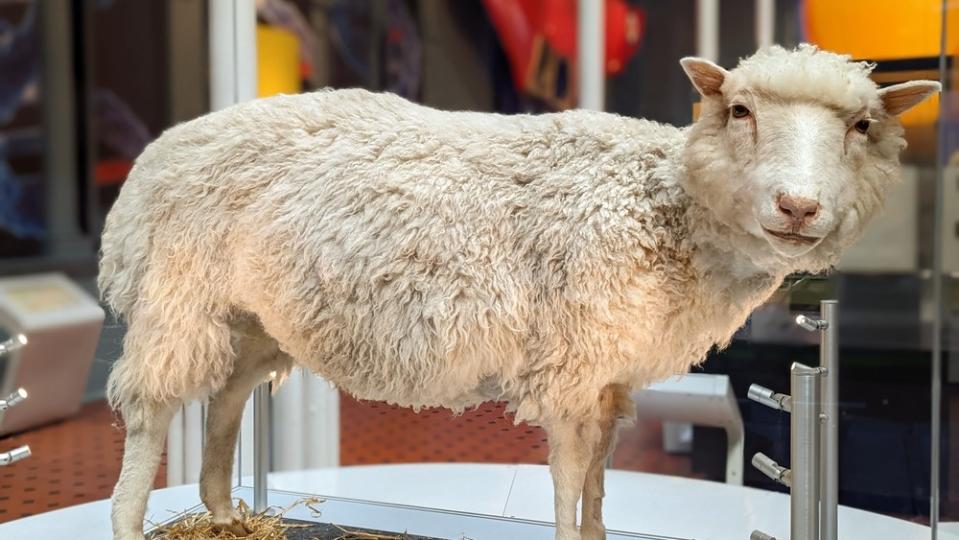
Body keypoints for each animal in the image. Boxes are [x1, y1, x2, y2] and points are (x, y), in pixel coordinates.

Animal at [101, 43, 940, 540]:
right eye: (739, 111)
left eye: (862, 126)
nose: (797, 207)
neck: (661, 206)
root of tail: (160, 150)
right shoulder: (570, 364)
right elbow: (570, 478)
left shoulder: (611, 376)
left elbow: (600, 479)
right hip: (177, 299)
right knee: (149, 417)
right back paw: (130, 518)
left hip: (252, 318)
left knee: (225, 404)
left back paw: (222, 512)